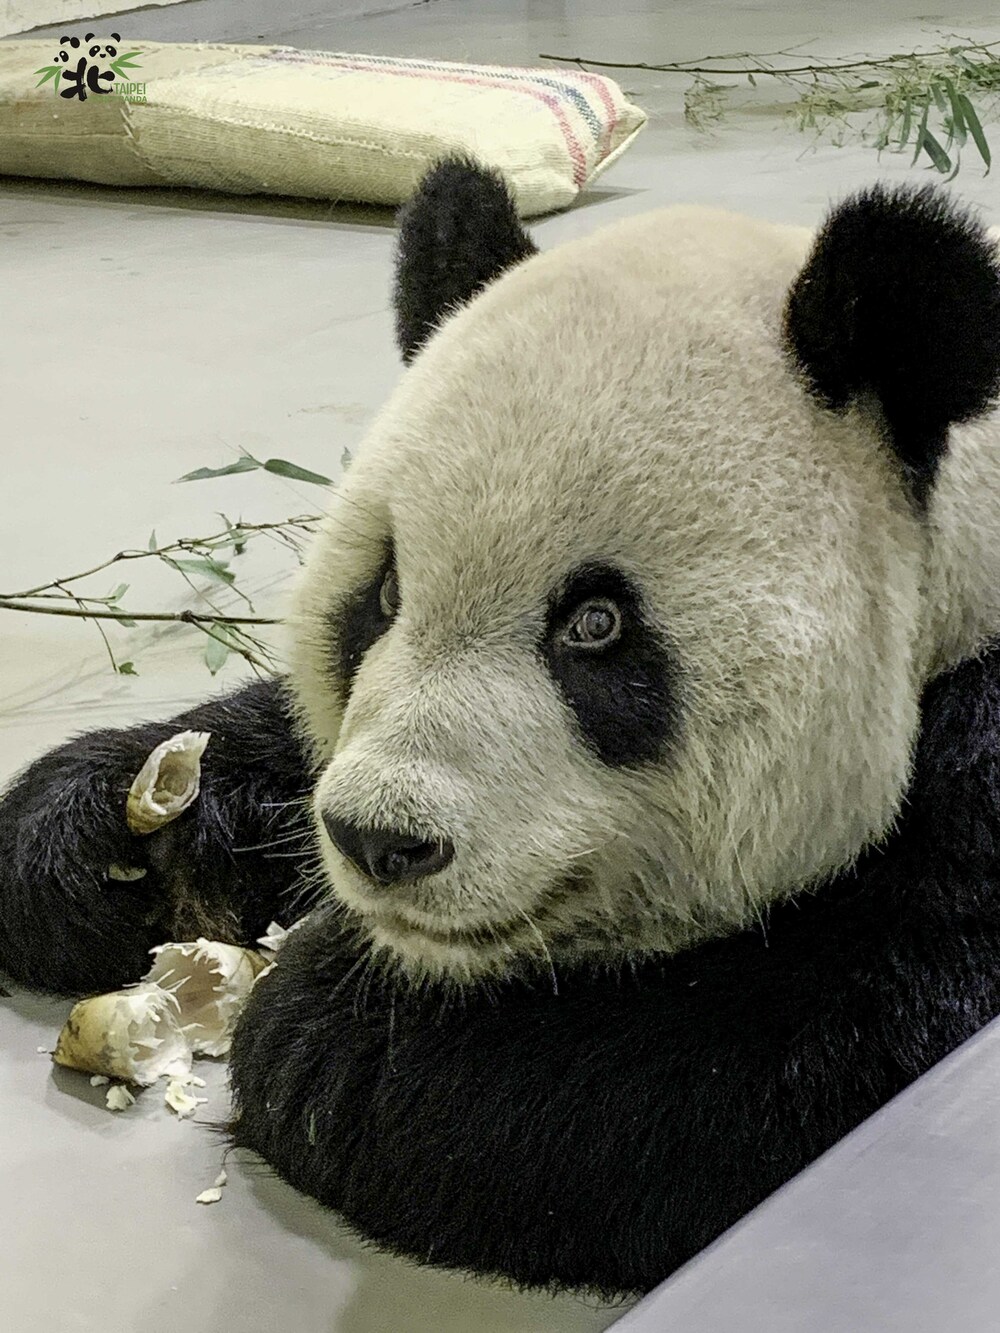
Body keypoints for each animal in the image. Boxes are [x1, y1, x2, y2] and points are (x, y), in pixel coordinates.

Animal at [1, 161, 1000, 1295]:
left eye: (595, 625)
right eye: (385, 594)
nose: (380, 841)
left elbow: (755, 1058)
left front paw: (323, 1032)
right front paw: (108, 843)